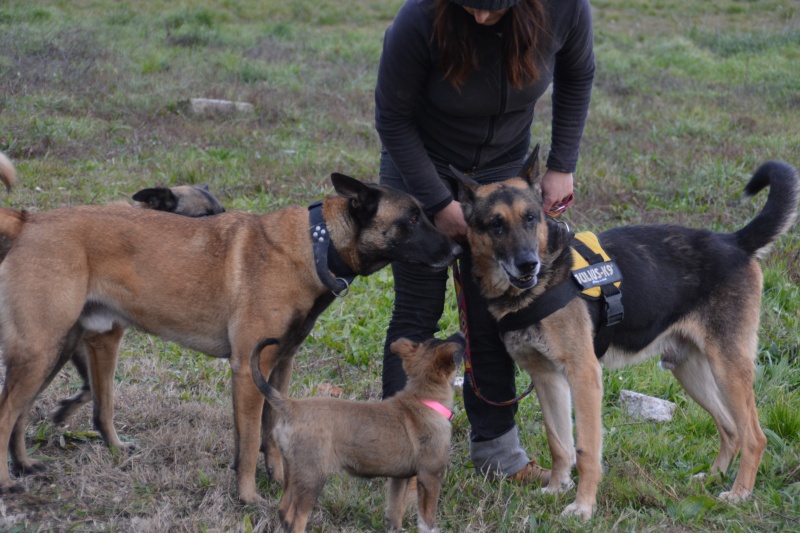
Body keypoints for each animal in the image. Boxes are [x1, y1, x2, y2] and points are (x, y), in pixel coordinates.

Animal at [0, 171, 460, 502]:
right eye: (412, 219)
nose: (457, 249)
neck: (316, 244)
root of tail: (30, 219)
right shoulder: (247, 371)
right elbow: (250, 440)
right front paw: (248, 497)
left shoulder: (278, 367)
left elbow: (269, 431)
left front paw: (277, 478)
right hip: (42, 349)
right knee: (7, 413)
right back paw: (8, 482)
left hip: (53, 349)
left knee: (20, 415)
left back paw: (24, 466)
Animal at [250, 332, 462, 532]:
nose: (461, 334)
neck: (423, 399)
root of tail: (292, 406)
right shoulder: (430, 476)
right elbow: (427, 520)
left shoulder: (400, 479)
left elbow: (395, 509)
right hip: (313, 476)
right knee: (296, 518)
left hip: (293, 472)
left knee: (284, 510)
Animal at [454, 143, 796, 516]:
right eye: (495, 225)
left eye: (531, 217)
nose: (528, 265)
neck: (542, 283)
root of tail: (734, 241)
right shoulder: (547, 378)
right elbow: (559, 443)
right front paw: (557, 488)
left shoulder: (584, 375)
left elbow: (586, 450)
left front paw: (583, 507)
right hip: (689, 371)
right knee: (731, 429)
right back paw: (714, 477)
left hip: (728, 368)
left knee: (754, 436)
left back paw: (739, 493)